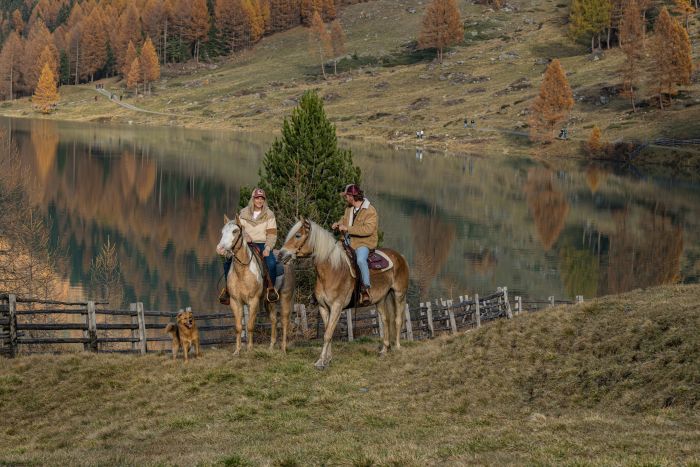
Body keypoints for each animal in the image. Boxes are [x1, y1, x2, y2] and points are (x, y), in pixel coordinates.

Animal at [217, 216, 296, 354]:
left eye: (235, 231)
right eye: (222, 232)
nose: (220, 249)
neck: (242, 271)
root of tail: (286, 260)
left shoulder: (253, 301)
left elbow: (249, 326)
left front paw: (249, 350)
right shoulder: (235, 301)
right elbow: (239, 327)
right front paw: (237, 351)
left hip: (286, 297)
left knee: (284, 321)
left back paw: (283, 349)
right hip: (269, 301)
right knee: (274, 320)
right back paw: (271, 346)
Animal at [278, 218, 410, 370]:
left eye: (298, 235)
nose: (281, 254)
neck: (332, 270)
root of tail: (400, 257)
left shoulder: (337, 306)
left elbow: (328, 334)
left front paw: (321, 362)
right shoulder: (323, 308)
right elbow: (327, 332)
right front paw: (327, 359)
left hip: (399, 294)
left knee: (398, 319)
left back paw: (398, 347)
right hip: (381, 299)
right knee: (385, 320)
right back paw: (384, 350)